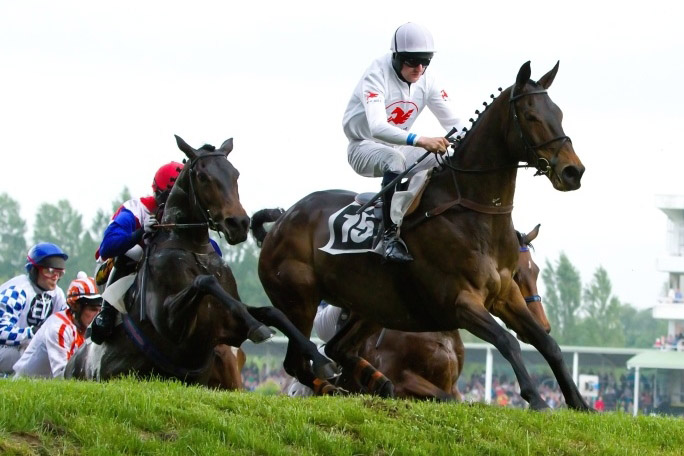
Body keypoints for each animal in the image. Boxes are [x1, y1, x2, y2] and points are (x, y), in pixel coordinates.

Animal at [65, 135, 334, 384]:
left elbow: (273, 313)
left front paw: (320, 360)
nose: (238, 223)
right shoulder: (173, 327)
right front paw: (259, 328)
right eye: (204, 177)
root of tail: (73, 363)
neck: (191, 246)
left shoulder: (227, 329)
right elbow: (204, 281)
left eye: (235, 174)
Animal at [254, 60, 592, 410]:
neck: (472, 212)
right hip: (300, 298)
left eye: (559, 113)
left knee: (336, 348)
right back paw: (330, 377)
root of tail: (281, 222)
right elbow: (507, 341)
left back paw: (373, 382)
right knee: (295, 358)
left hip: (371, 308)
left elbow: (548, 344)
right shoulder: (458, 301)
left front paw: (578, 402)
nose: (573, 171)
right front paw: (537, 399)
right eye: (530, 115)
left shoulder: (504, 295)